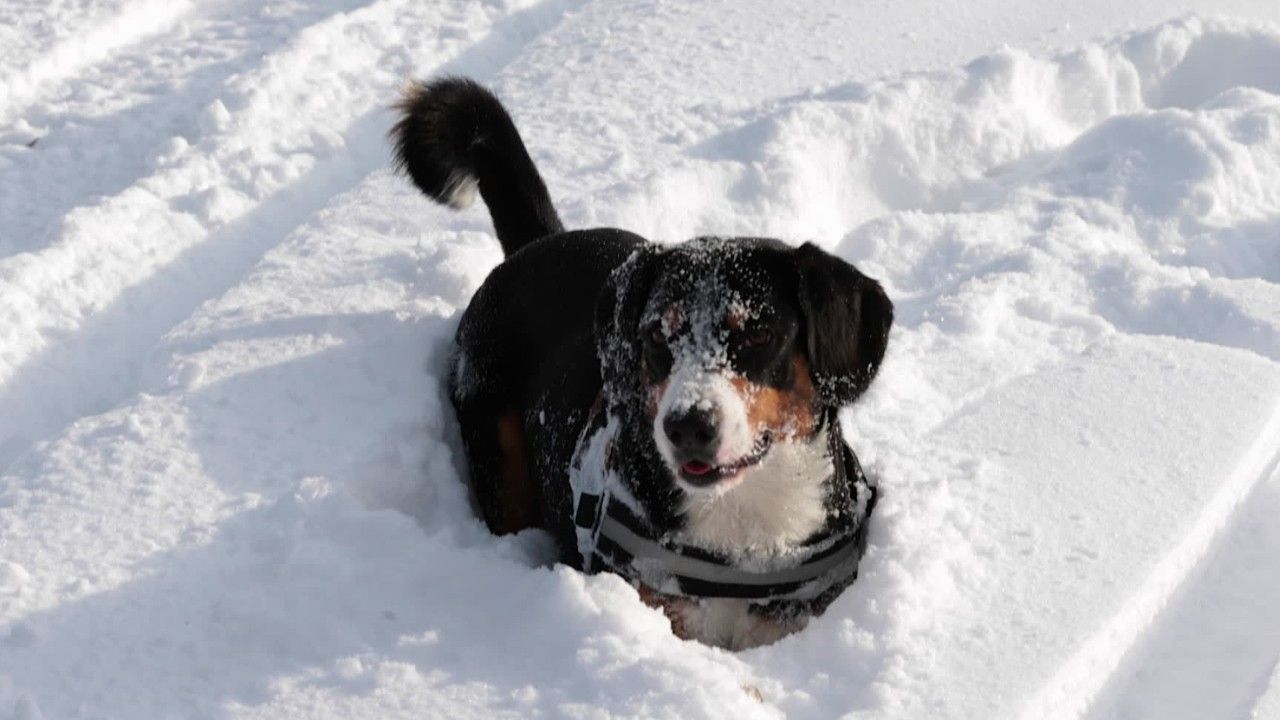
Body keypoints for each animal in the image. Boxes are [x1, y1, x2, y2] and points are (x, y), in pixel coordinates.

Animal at [389, 78, 890, 650]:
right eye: (655, 335)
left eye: (760, 334)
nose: (687, 426)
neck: (740, 534)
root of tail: (538, 243)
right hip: (496, 450)